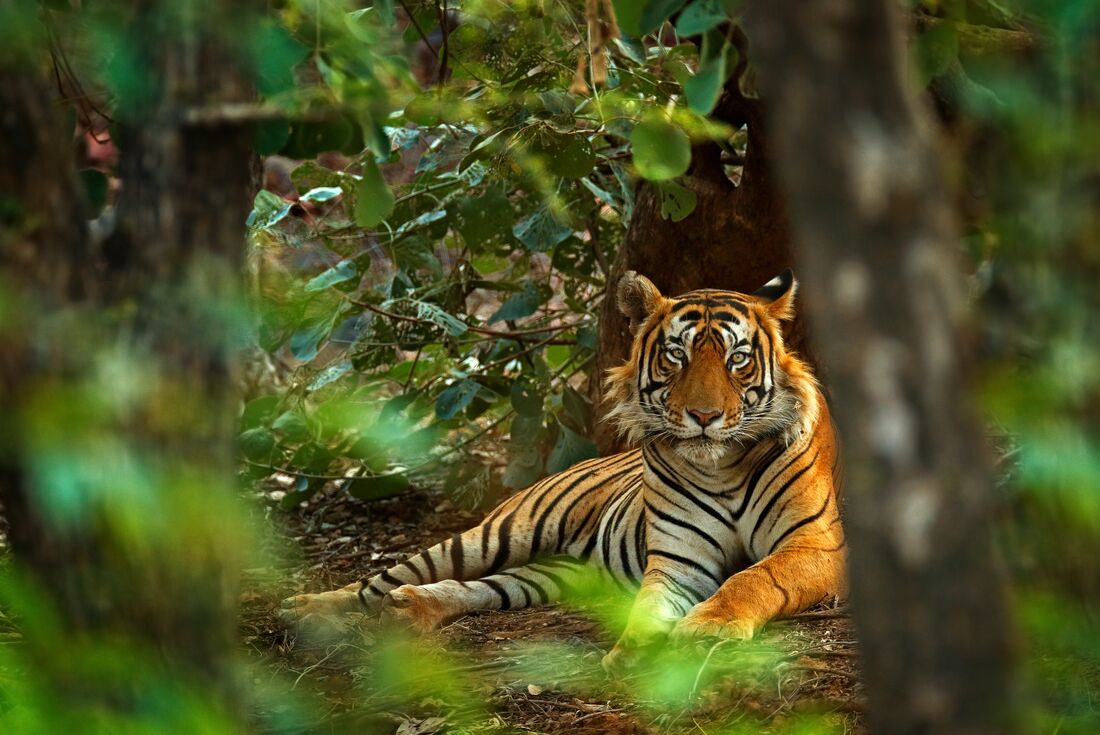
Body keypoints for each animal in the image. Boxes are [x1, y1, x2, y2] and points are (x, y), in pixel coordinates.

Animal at [280, 270, 846, 671]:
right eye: (676, 356)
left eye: (737, 360)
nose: (703, 416)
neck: (721, 467)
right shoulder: (678, 560)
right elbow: (649, 605)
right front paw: (634, 653)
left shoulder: (816, 544)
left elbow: (754, 577)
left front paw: (707, 629)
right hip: (498, 534)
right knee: (381, 579)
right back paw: (306, 608)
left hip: (555, 574)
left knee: (481, 588)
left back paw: (410, 609)